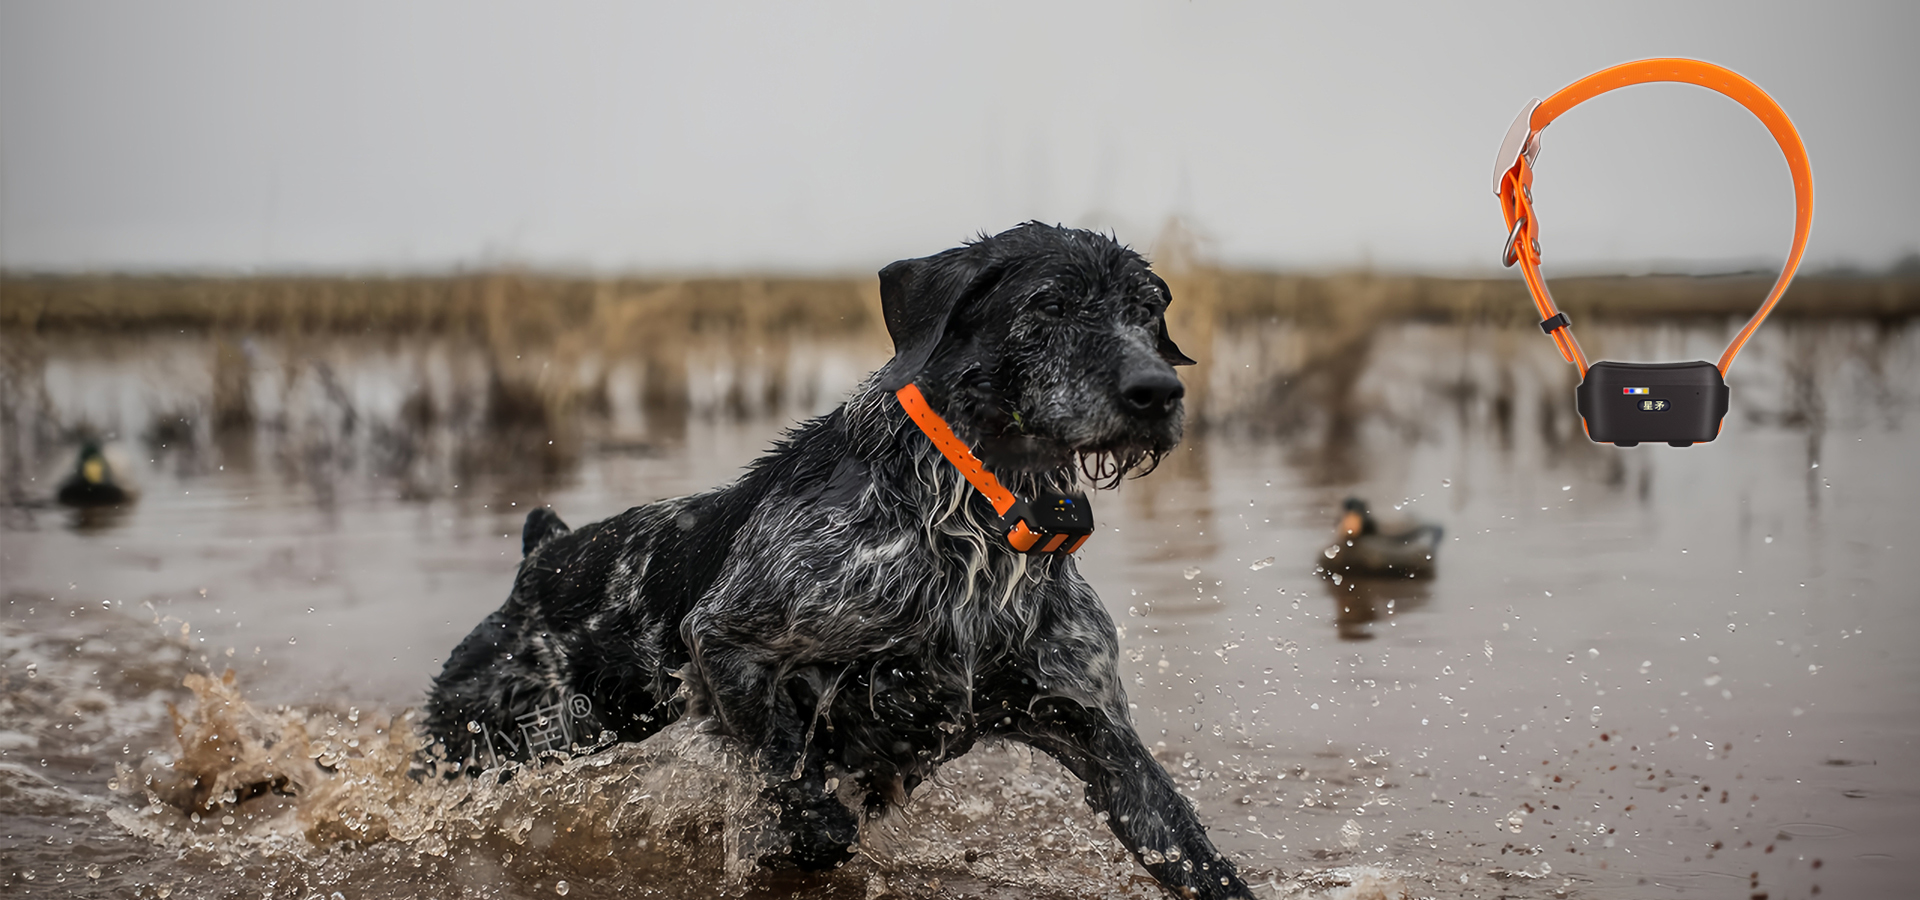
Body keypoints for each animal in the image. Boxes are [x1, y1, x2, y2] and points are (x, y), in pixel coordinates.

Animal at [426, 224, 1251, 898]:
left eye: (1146, 310)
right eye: (1048, 305)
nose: (1157, 392)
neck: (975, 522)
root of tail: (542, 556)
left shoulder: (1094, 731)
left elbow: (1190, 850)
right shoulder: (725, 639)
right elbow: (792, 779)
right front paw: (809, 823)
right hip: (494, 738)